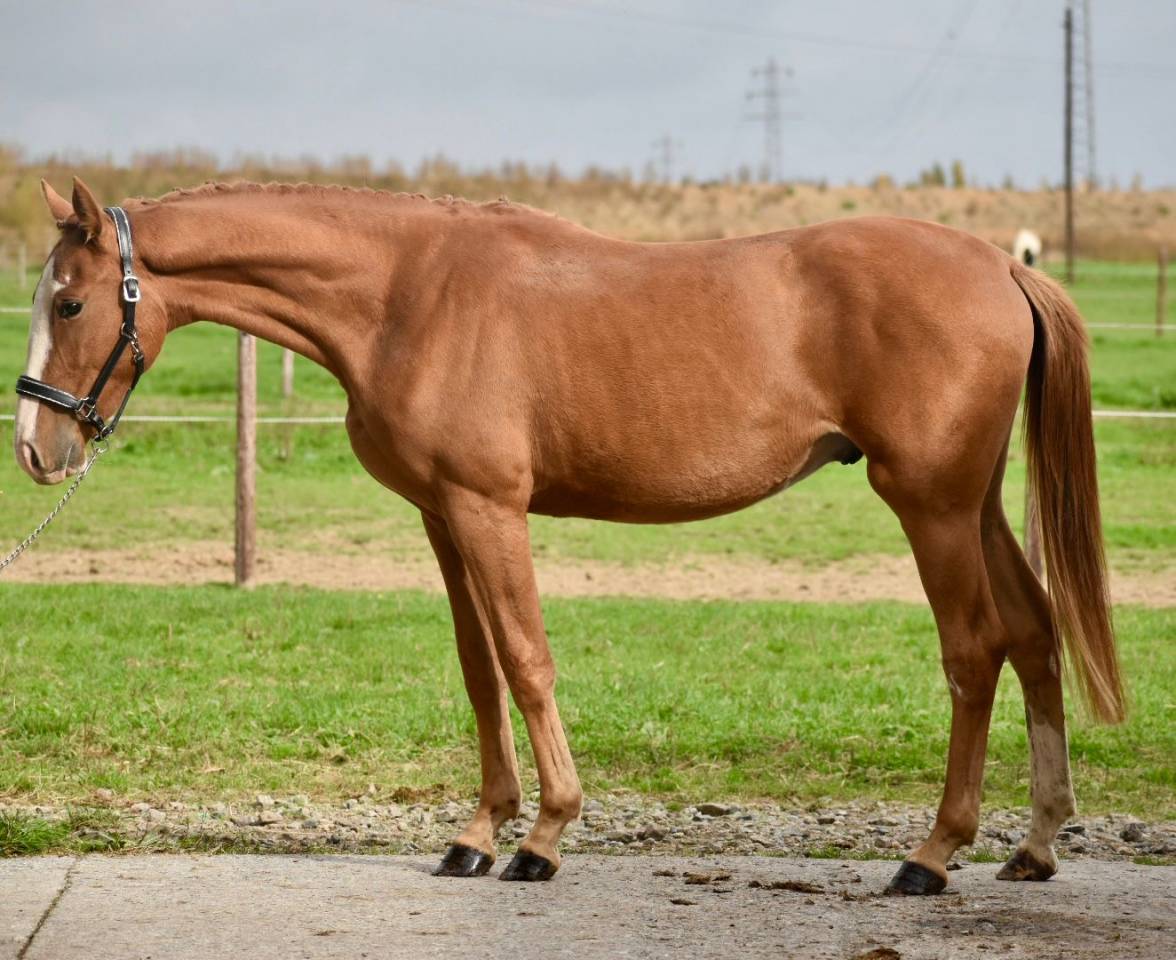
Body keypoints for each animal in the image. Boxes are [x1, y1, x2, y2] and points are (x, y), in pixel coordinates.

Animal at [14, 177, 1123, 893]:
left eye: (69, 301)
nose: (36, 445)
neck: (407, 293)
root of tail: (1001, 266)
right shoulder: (444, 516)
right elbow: (480, 670)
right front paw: (474, 834)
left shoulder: (490, 509)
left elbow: (528, 660)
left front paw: (543, 838)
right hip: (975, 503)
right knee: (1036, 634)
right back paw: (1035, 845)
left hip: (930, 505)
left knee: (975, 651)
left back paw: (932, 855)